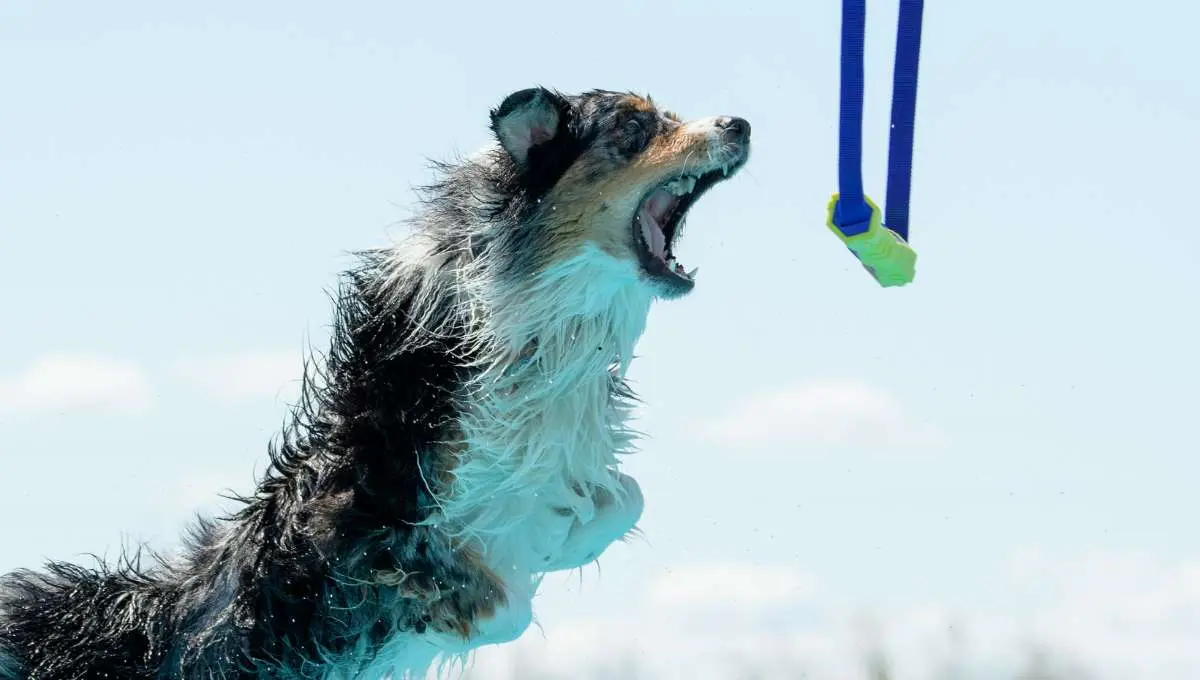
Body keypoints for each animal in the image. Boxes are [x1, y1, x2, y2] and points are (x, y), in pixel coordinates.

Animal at [2, 87, 748, 676]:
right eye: (633, 129)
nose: (740, 124)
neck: (538, 322)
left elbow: (627, 498)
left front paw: (563, 537)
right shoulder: (366, 516)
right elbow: (501, 604)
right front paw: (460, 604)